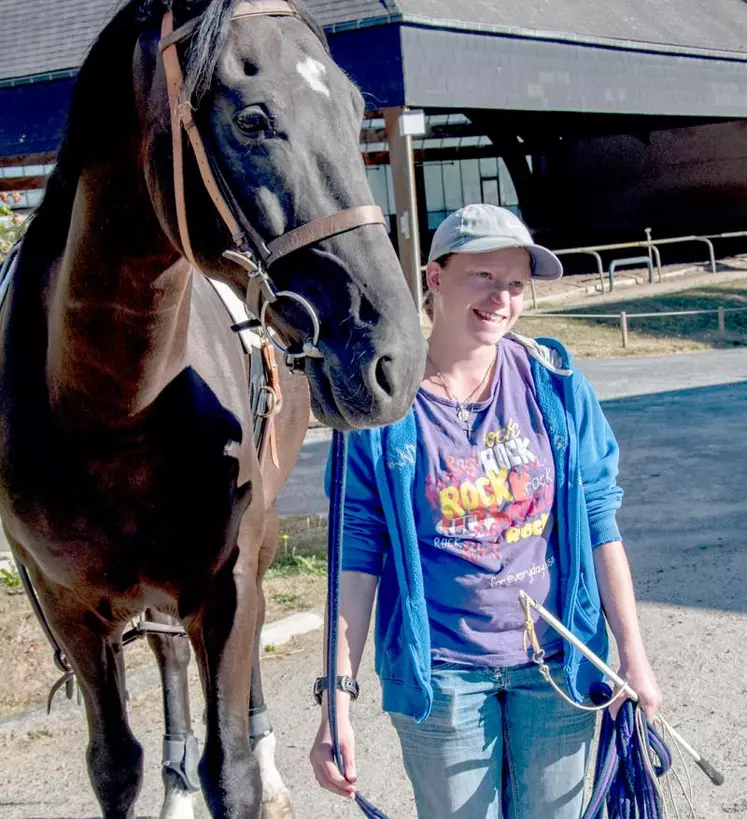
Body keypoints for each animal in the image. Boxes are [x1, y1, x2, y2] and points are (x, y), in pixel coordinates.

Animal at [0, 1, 426, 819]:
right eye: (253, 119)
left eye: (352, 108)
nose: (396, 357)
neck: (107, 407)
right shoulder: (71, 608)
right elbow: (114, 765)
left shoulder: (225, 585)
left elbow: (230, 771)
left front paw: (253, 772)